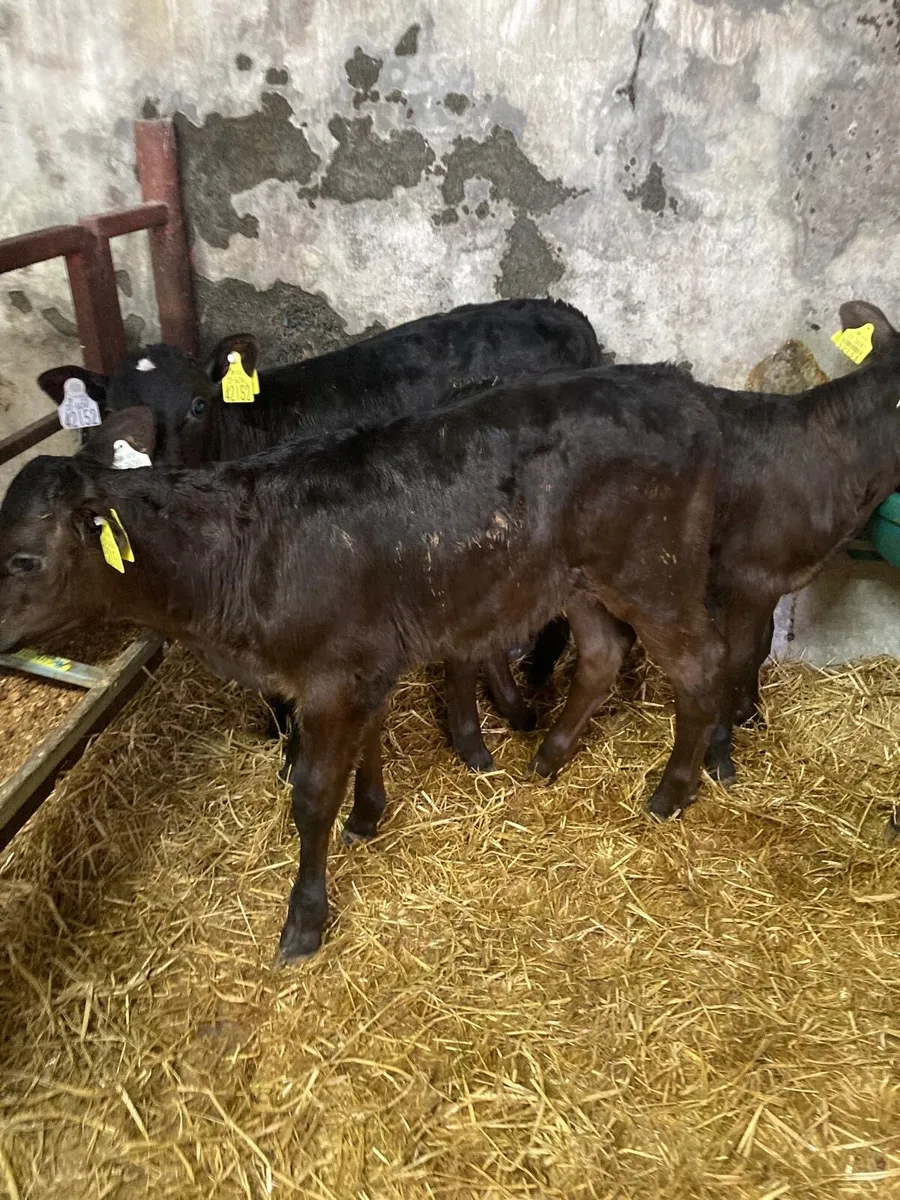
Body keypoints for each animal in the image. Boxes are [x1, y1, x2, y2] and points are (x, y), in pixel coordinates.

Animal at [0, 369, 725, 961]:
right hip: (578, 580)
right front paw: (369, 816)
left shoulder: (329, 678)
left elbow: (314, 794)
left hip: (653, 574)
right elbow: (368, 745)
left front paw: (304, 920)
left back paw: (672, 791)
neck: (235, 559)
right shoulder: (363, 662)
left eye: (23, 560)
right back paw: (549, 756)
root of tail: (677, 387)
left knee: (700, 663)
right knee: (603, 654)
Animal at [38, 298, 603, 772]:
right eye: (111, 415)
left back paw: (539, 673)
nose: (148, 476)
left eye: (198, 405)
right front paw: (273, 728)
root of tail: (565, 313)